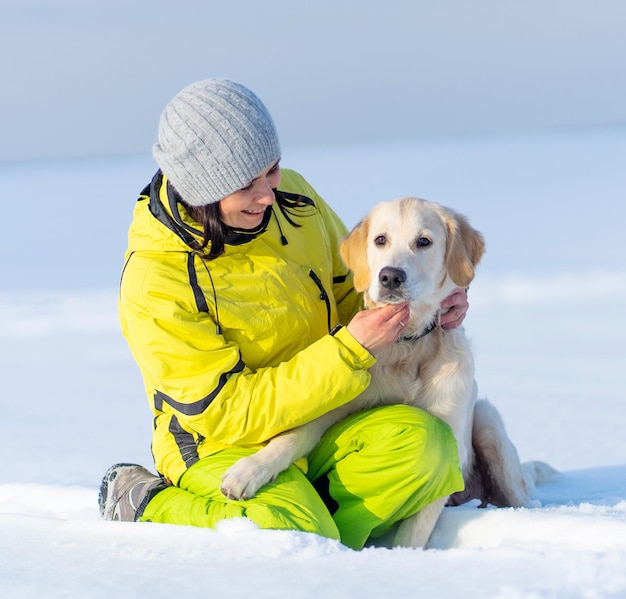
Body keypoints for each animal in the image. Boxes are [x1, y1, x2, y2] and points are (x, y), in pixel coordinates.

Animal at [222, 197, 552, 548]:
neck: (407, 346)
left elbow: (414, 531)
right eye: (380, 240)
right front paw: (246, 472)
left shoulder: (451, 436)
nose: (390, 277)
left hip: (488, 425)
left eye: (424, 242)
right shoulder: (336, 403)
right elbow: (292, 437)